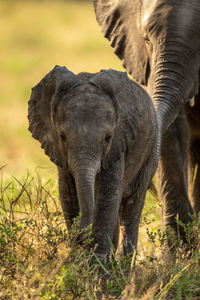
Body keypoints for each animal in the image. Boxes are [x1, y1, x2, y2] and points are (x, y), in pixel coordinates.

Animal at [27, 65, 157, 262]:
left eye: (108, 138)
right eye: (62, 137)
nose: (81, 236)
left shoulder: (118, 144)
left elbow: (108, 194)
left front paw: (97, 267)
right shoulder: (61, 154)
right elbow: (68, 193)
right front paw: (76, 262)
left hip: (151, 151)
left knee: (131, 208)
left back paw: (125, 267)